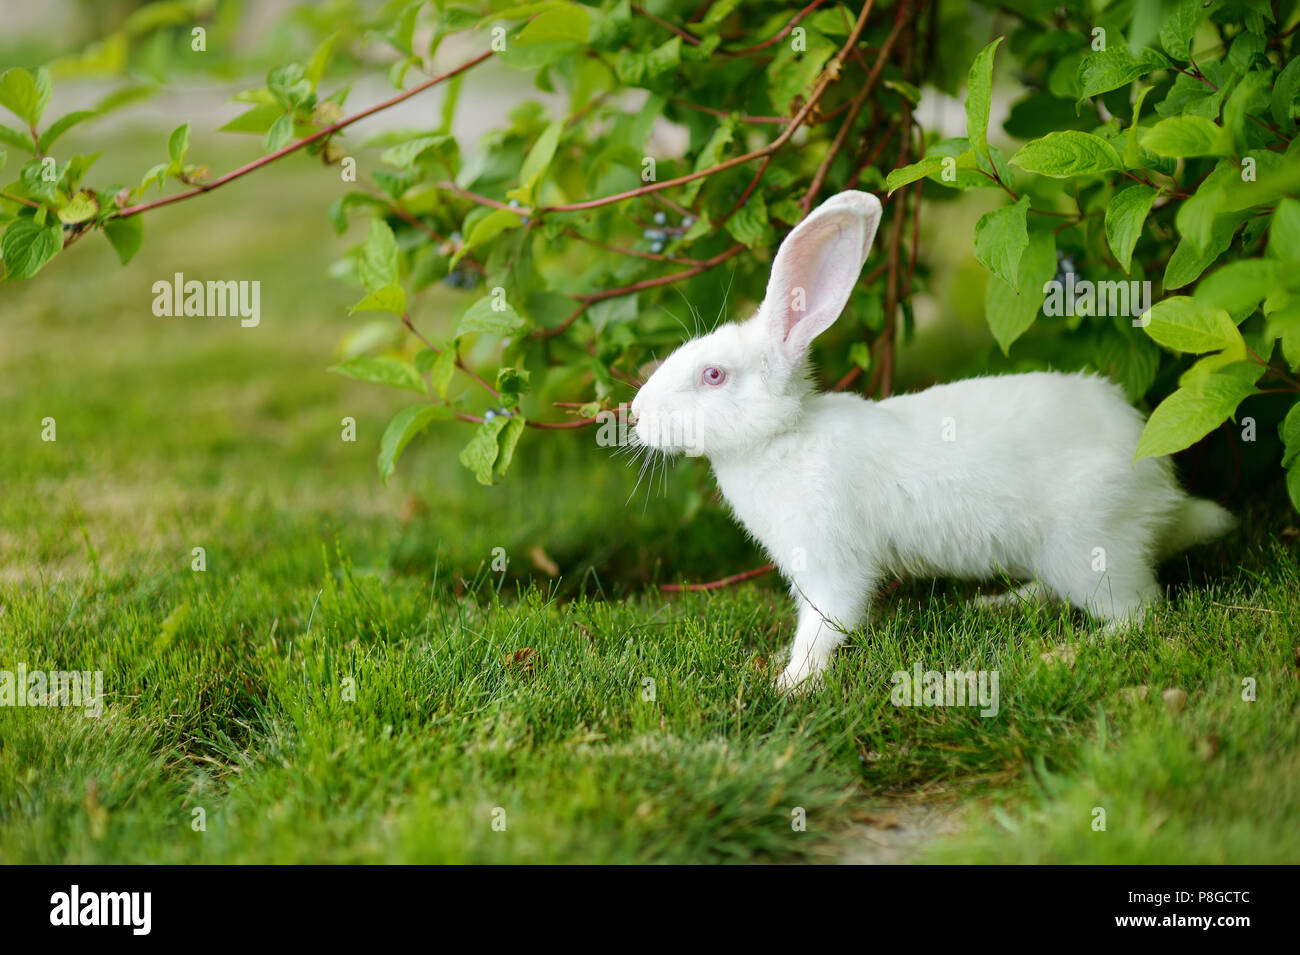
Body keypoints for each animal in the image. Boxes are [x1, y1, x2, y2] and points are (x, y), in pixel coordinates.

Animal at [631, 191, 1237, 691]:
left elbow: (826, 625)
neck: (785, 436)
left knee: (1140, 613)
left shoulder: (832, 566)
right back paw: (997, 604)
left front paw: (792, 683)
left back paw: (1069, 650)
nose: (636, 415)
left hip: (1088, 548)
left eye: (713, 376)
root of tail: (1163, 494)